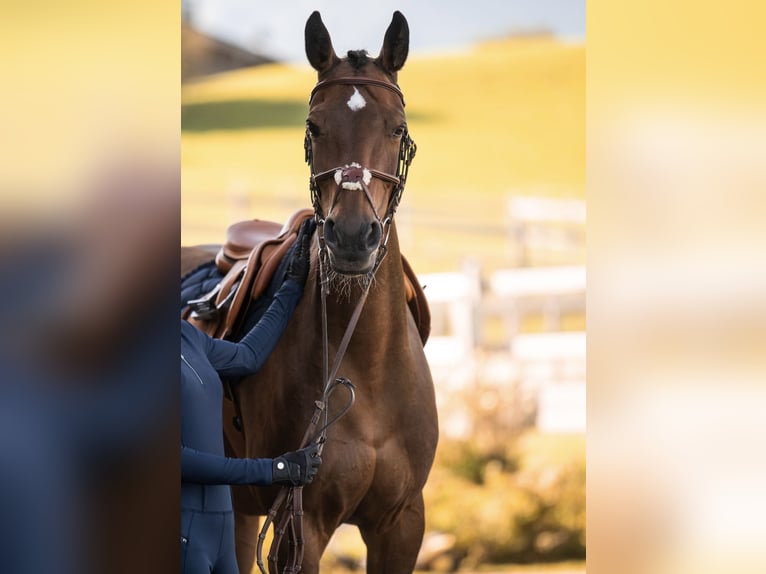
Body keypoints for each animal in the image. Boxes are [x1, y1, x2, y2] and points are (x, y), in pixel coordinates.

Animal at [182, 11, 438, 573]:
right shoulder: (299, 529)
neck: (366, 363)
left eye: (398, 128)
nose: (352, 236)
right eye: (314, 127)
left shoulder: (402, 523)